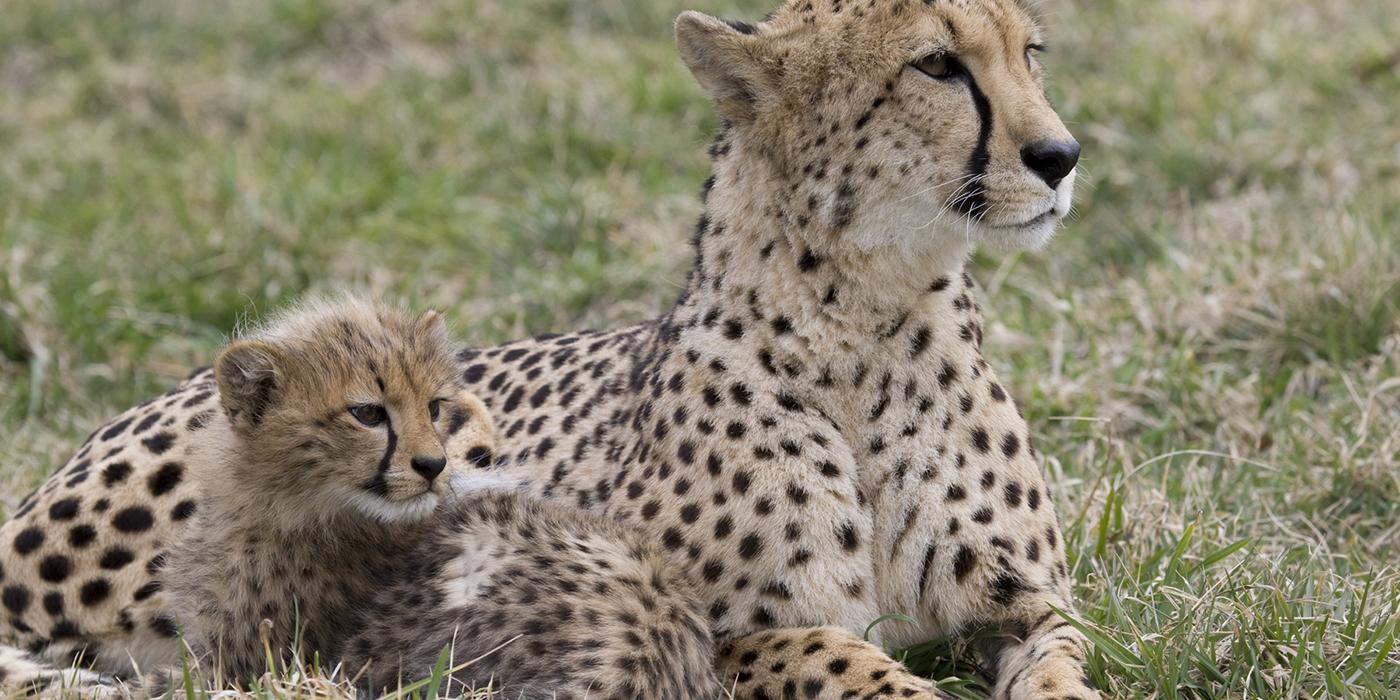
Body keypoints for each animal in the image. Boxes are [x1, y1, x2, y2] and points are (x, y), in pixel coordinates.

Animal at [5, 2, 1097, 697]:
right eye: (937, 64)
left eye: (1031, 51)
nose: (1060, 155)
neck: (872, 320)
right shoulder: (705, 628)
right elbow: (854, 664)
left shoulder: (1030, 602)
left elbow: (1061, 663)